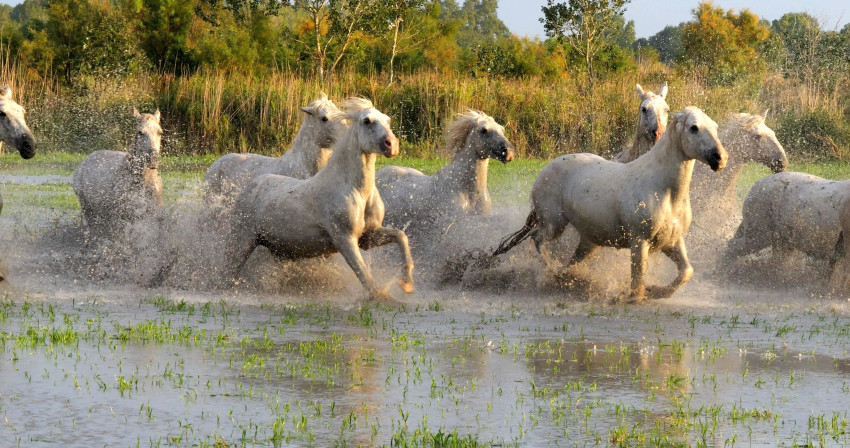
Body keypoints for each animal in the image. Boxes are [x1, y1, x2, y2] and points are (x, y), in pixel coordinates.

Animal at [224, 97, 412, 300]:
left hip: (279, 249)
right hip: (242, 242)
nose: (391, 145)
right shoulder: (344, 239)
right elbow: (365, 277)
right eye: (367, 121)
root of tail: (251, 185)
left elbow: (401, 236)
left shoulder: (368, 237)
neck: (355, 190)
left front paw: (407, 284)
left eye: (387, 120)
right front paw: (384, 297)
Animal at [494, 107, 724, 302]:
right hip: (554, 224)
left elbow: (686, 271)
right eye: (694, 128)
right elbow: (637, 278)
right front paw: (636, 297)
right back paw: (553, 272)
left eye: (715, 127)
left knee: (571, 260)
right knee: (538, 240)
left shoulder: (672, 241)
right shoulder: (639, 241)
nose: (719, 158)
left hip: (589, 240)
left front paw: (657, 292)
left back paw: (566, 278)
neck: (664, 189)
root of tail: (545, 169)